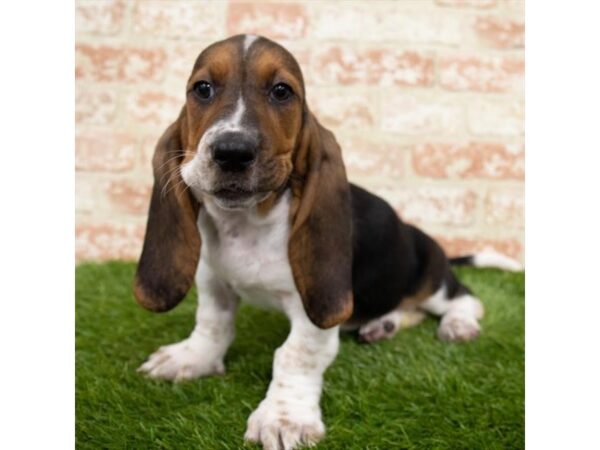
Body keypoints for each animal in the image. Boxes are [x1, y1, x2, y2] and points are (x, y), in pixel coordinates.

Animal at [134, 33, 524, 448]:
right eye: (202, 89)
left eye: (282, 91)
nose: (232, 151)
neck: (249, 222)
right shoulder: (214, 282)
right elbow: (212, 324)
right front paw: (191, 359)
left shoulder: (311, 310)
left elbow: (294, 354)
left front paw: (284, 418)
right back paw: (381, 326)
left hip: (429, 279)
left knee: (464, 298)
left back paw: (457, 325)